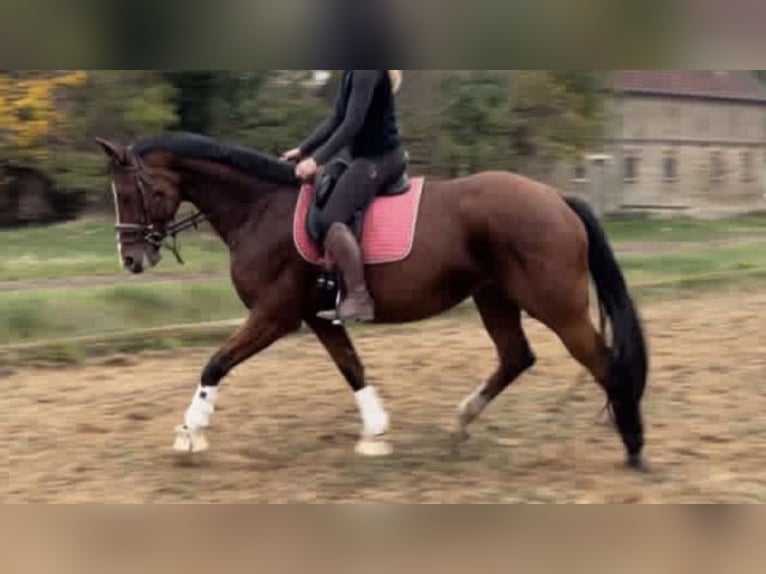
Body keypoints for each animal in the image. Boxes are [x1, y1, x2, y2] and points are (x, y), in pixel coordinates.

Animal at [95, 131, 649, 470]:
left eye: (133, 192)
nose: (131, 258)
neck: (261, 208)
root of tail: (556, 198)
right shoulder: (319, 316)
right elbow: (352, 368)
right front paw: (376, 434)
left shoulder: (274, 315)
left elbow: (215, 363)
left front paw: (189, 433)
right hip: (494, 297)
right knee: (517, 356)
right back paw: (461, 424)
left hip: (556, 305)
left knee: (603, 362)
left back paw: (634, 447)